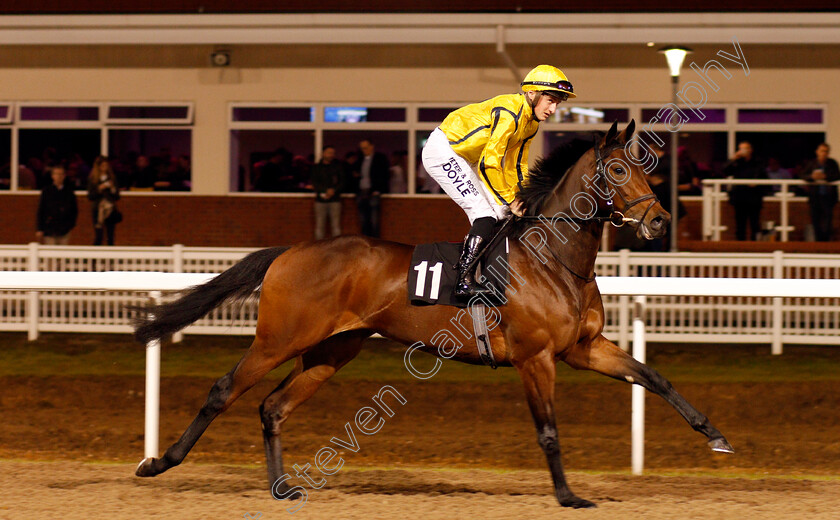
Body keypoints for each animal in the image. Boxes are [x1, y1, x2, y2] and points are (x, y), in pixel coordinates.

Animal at [131, 121, 728, 508]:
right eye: (620, 168)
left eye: (648, 167)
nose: (660, 220)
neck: (553, 258)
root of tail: (289, 251)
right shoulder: (535, 358)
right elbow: (548, 429)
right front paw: (567, 495)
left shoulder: (583, 349)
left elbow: (653, 376)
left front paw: (714, 434)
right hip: (280, 339)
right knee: (224, 390)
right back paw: (159, 462)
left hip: (333, 349)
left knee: (273, 407)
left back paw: (281, 488)